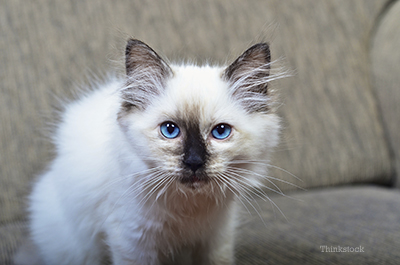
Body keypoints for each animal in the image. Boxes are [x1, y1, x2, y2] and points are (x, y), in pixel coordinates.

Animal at [14, 39, 282, 264]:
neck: (190, 206)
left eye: (220, 132)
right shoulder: (133, 241)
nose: (194, 162)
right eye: (170, 130)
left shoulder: (216, 237)